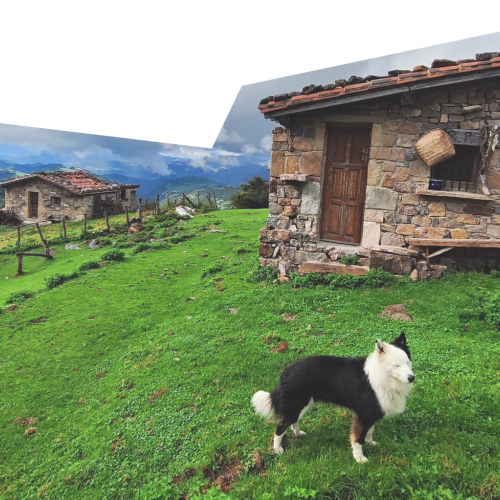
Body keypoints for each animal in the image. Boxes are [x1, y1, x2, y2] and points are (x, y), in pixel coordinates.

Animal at [250, 334, 414, 462]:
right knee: (280, 427)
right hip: (297, 404)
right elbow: (358, 438)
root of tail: (287, 371)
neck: (383, 376)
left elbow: (370, 431)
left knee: (293, 422)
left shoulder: (372, 412)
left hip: (304, 404)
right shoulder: (364, 415)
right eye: (396, 365)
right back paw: (277, 449)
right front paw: (359, 458)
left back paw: (297, 434)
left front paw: (371, 443)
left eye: (407, 362)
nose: (412, 378)